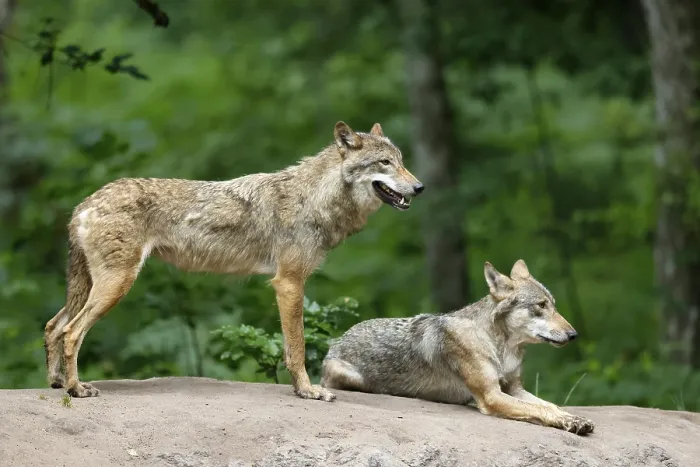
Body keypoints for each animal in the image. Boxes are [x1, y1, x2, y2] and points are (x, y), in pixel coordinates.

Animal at [43, 121, 424, 401]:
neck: (316, 200)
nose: (420, 187)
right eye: (385, 163)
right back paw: (76, 389)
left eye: (401, 160)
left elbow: (291, 346)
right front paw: (307, 391)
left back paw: (57, 383)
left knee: (53, 326)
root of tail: (84, 204)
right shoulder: (289, 282)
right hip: (116, 286)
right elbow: (298, 347)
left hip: (89, 288)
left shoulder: (289, 284)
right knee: (71, 331)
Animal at [321, 259, 595, 435]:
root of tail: (338, 339)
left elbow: (549, 405)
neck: (500, 348)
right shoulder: (492, 395)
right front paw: (569, 422)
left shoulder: (513, 388)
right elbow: (540, 410)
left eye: (553, 305)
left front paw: (574, 418)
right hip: (349, 376)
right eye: (541, 305)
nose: (574, 335)